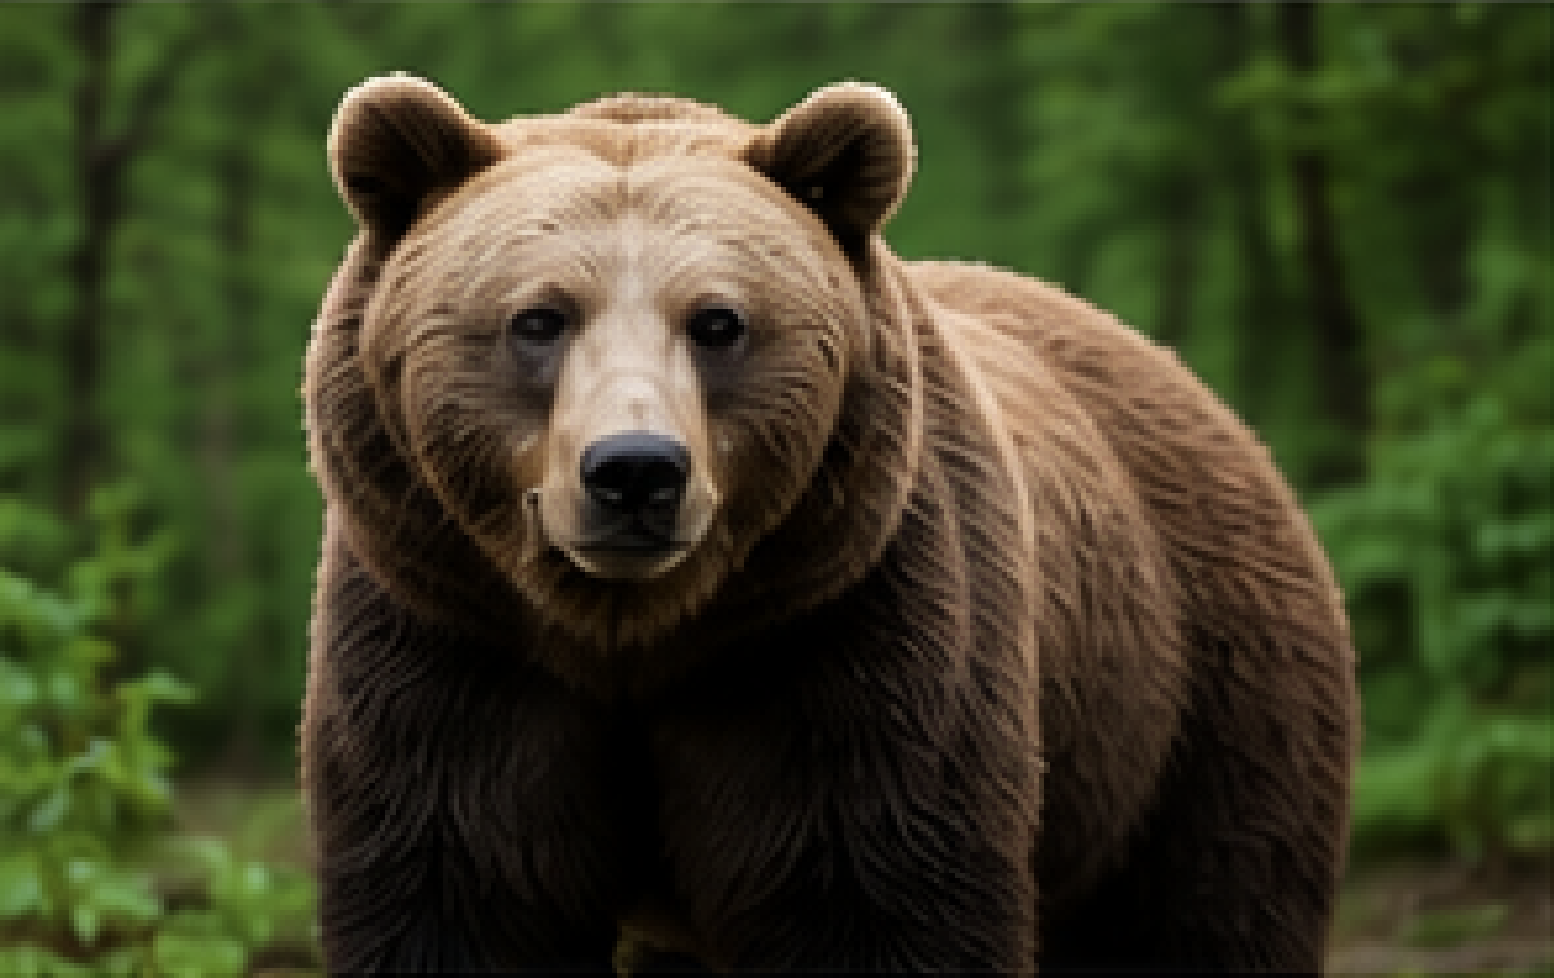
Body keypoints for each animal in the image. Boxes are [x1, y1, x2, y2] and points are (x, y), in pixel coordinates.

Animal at [301, 74, 1359, 974]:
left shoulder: (848, 633)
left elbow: (874, 894)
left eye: (718, 322)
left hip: (1192, 702)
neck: (631, 633)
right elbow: (461, 886)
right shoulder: (453, 635)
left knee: (1207, 907)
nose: (636, 472)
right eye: (539, 319)